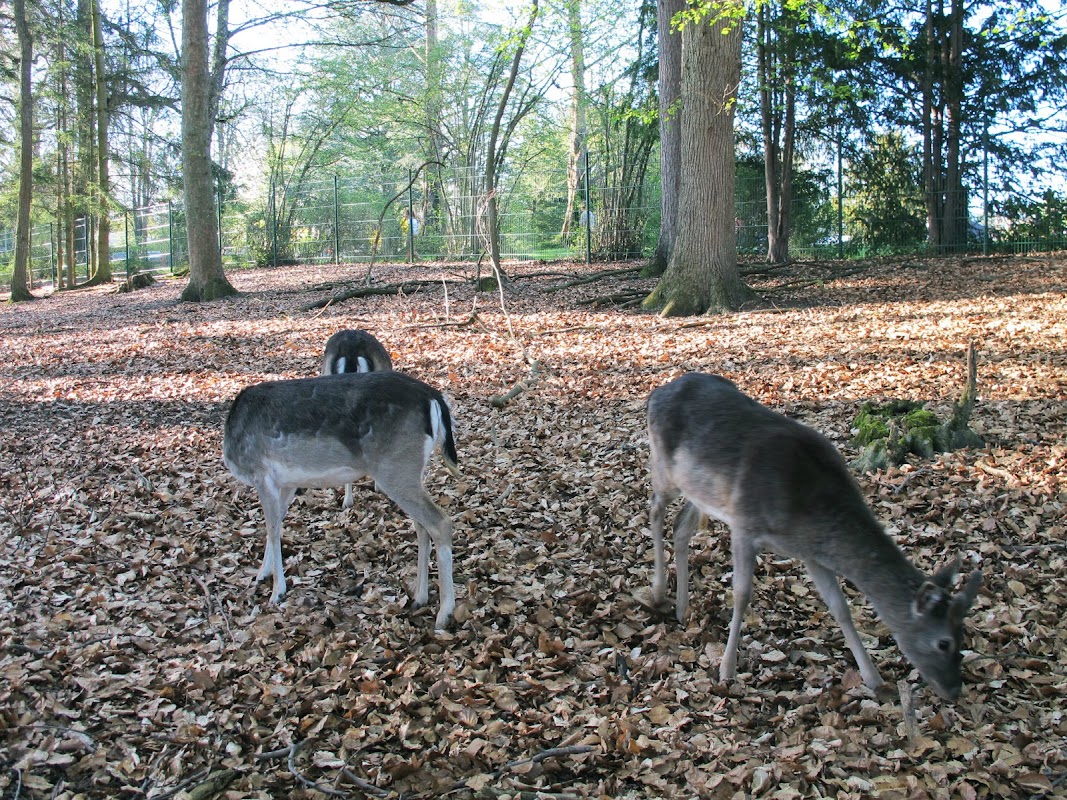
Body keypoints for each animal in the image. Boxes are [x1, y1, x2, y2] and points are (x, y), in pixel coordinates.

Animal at [223, 373, 460, 631]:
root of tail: (433, 397)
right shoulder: (286, 483)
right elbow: (276, 524)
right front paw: (261, 574)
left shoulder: (262, 474)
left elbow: (271, 528)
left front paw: (277, 592)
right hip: (411, 471)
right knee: (422, 526)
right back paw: (419, 597)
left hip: (395, 468)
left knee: (440, 522)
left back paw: (444, 613)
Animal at [640, 375, 981, 699]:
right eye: (943, 643)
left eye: (963, 634)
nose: (954, 690)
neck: (806, 513)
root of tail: (655, 393)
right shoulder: (745, 525)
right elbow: (742, 594)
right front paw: (727, 670)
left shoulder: (811, 554)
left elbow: (840, 607)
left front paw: (874, 679)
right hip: (664, 468)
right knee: (655, 509)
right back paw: (658, 592)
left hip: (700, 491)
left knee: (681, 526)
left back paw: (682, 608)